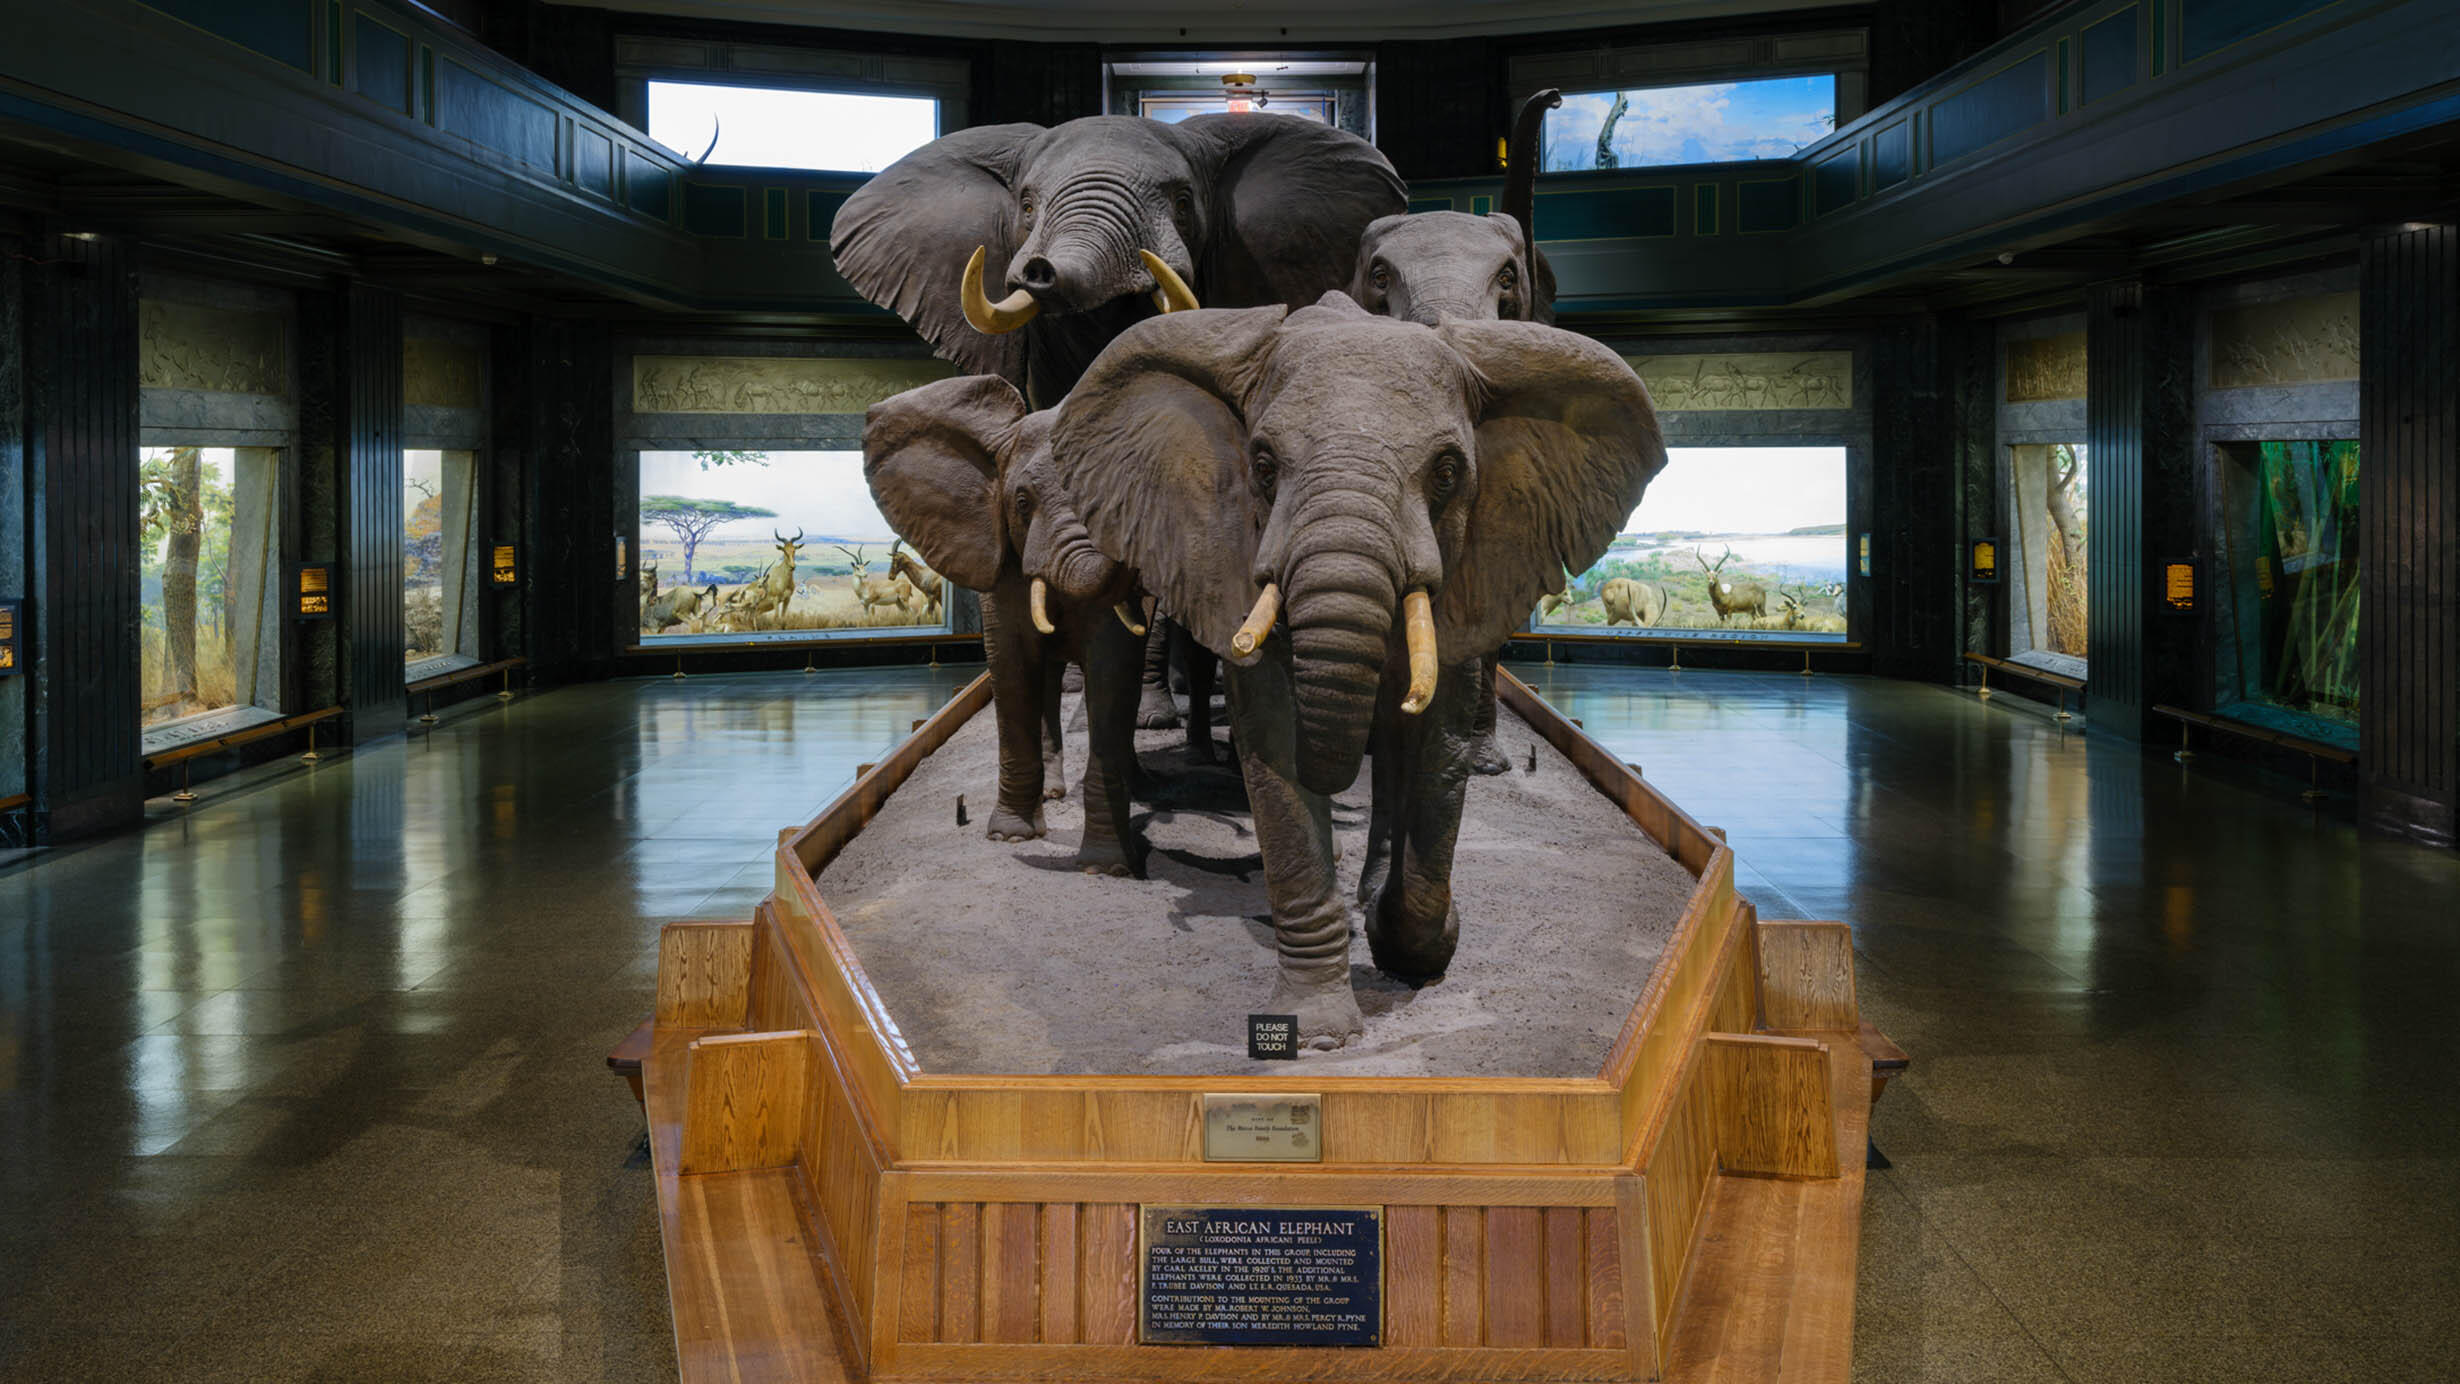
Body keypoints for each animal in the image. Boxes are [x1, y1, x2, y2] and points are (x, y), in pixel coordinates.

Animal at [865, 376, 1151, 875]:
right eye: (1021, 501)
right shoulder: (997, 557)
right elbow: (1013, 666)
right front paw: (1010, 836)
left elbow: (1114, 669)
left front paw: (1107, 866)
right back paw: (1053, 794)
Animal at [1047, 294, 1662, 1052]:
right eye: (1263, 464)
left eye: (1448, 471)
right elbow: (1274, 736)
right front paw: (1316, 1031)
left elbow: (1438, 743)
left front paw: (1418, 944)